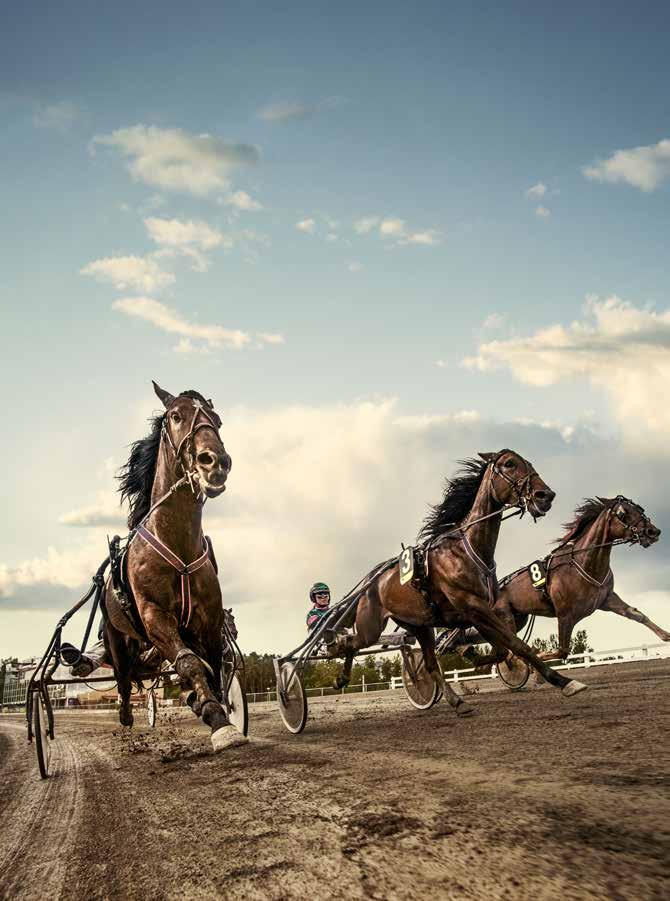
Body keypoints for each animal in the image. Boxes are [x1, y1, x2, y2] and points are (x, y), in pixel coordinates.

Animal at [100, 382, 247, 752]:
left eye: (217, 420)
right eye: (176, 416)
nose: (215, 461)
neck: (176, 542)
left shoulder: (208, 619)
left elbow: (212, 667)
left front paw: (215, 708)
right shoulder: (155, 616)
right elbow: (189, 662)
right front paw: (216, 716)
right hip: (117, 638)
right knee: (124, 679)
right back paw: (126, 715)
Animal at [330, 450, 588, 712]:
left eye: (529, 463)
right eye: (509, 464)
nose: (545, 495)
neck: (468, 549)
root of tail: (371, 583)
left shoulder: (480, 612)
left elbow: (500, 649)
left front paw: (476, 656)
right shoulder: (474, 607)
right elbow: (517, 645)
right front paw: (565, 681)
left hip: (419, 625)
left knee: (430, 665)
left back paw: (457, 701)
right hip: (370, 627)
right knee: (350, 642)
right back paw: (339, 671)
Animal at [494, 492, 668, 660]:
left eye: (640, 509)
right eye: (622, 513)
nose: (653, 531)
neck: (585, 563)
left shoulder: (607, 599)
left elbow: (636, 614)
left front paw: (666, 635)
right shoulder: (565, 615)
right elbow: (561, 652)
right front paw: (537, 655)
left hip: (519, 618)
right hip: (505, 614)